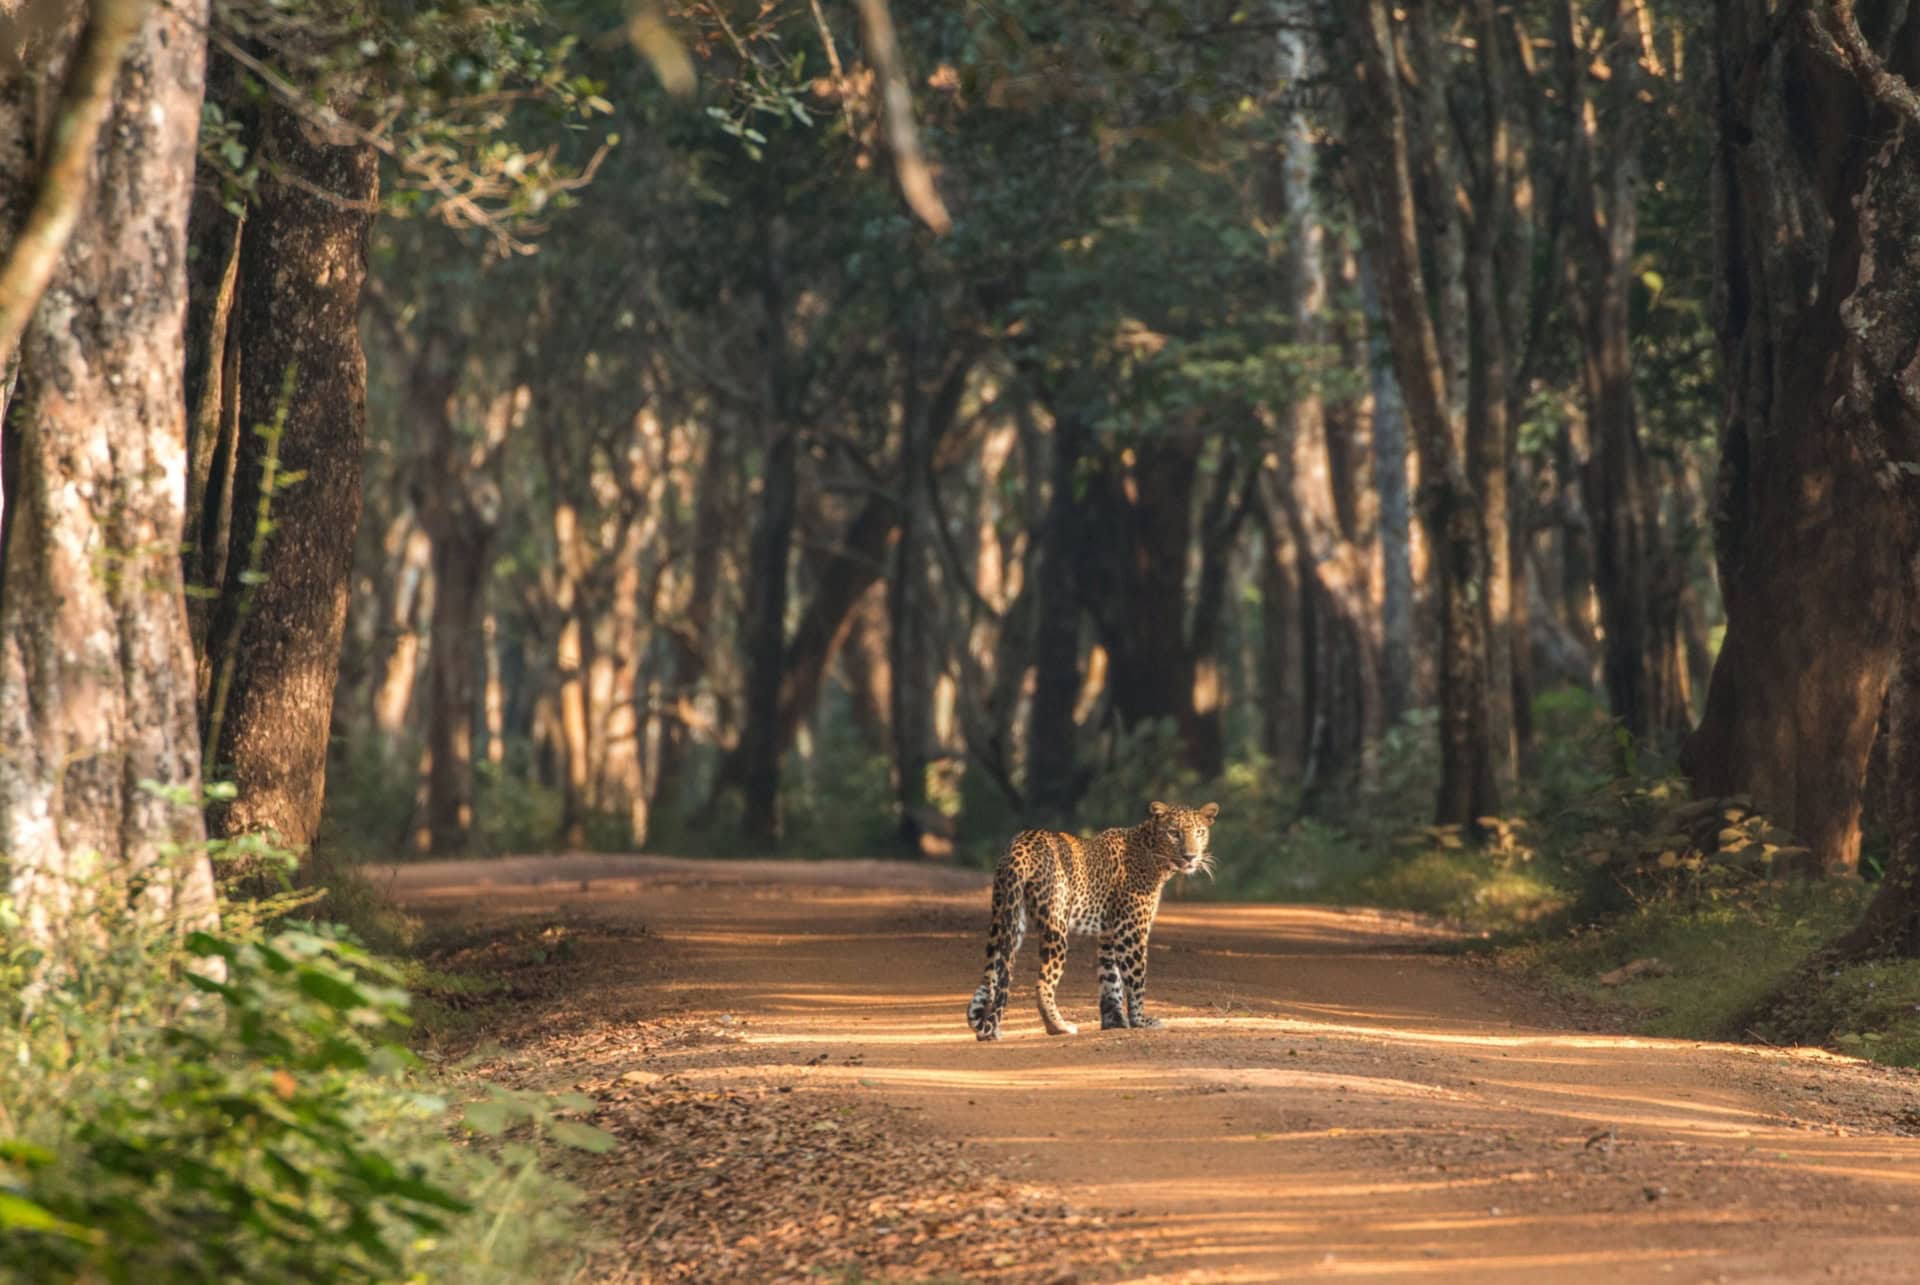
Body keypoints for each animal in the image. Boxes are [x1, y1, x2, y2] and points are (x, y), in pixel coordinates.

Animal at [966, 800, 1218, 1041]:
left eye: (1199, 832)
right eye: (1174, 833)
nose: (1190, 856)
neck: (1155, 856)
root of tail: (1022, 844)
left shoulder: (1108, 933)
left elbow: (1110, 979)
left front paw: (1114, 1022)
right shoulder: (1131, 931)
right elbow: (1136, 979)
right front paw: (1140, 1021)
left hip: (1005, 916)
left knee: (991, 975)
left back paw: (987, 1028)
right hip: (1055, 926)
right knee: (1042, 984)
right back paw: (1058, 1027)